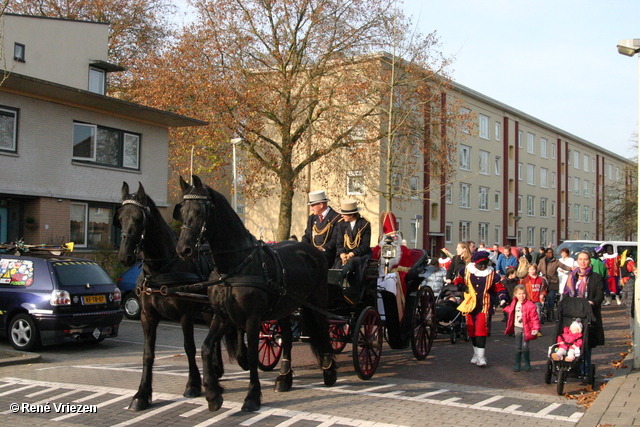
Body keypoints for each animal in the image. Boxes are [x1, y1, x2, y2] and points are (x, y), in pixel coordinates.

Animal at [114, 182, 216, 412]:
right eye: (120, 218)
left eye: (138, 218)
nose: (125, 256)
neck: (161, 269)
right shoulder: (147, 316)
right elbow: (148, 354)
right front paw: (142, 395)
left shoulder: (185, 315)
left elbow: (189, 347)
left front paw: (193, 385)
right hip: (208, 311)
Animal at [172, 176, 338, 412]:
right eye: (181, 210)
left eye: (198, 210)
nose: (183, 249)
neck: (234, 267)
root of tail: (311, 250)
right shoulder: (222, 316)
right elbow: (205, 348)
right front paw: (213, 394)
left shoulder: (252, 318)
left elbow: (251, 356)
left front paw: (252, 397)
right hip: (285, 307)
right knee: (287, 338)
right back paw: (284, 378)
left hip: (317, 301)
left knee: (323, 330)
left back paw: (329, 369)